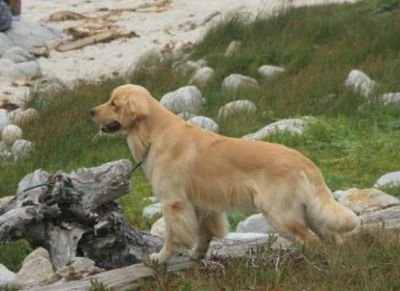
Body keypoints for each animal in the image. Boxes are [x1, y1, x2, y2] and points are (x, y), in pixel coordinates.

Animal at [91, 84, 360, 264]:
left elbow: (172, 236)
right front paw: (197, 255)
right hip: (309, 211)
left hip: (278, 213)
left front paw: (160, 257)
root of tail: (305, 162)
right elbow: (204, 234)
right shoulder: (202, 204)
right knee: (332, 238)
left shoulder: (174, 202)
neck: (153, 134)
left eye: (114, 103)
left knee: (310, 240)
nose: (91, 111)